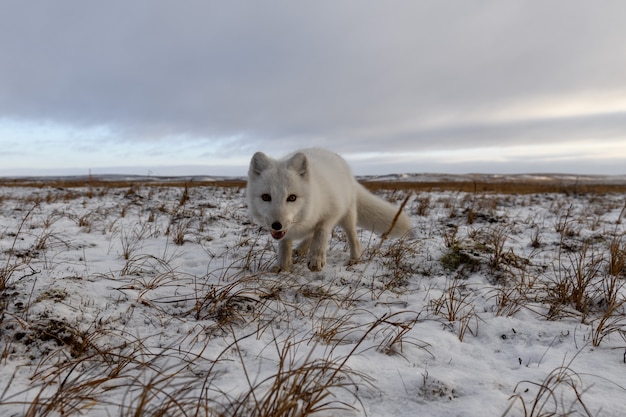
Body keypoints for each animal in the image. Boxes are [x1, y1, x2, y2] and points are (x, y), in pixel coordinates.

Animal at [246, 148, 412, 272]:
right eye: (266, 197)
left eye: (292, 198)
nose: (276, 225)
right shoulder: (285, 232)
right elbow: (284, 244)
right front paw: (283, 266)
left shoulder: (332, 212)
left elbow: (321, 232)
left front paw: (316, 258)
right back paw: (300, 249)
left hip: (348, 215)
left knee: (353, 238)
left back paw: (355, 259)